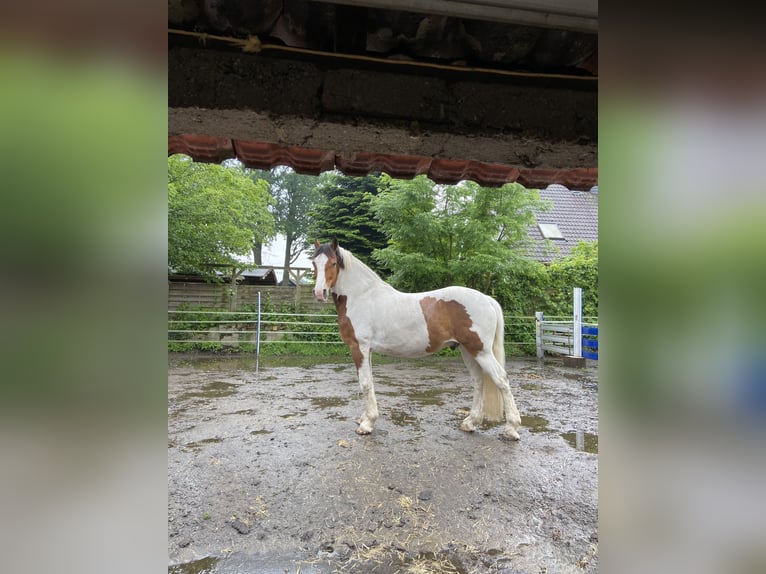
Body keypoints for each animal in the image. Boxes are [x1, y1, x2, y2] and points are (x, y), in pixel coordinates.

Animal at [311, 237, 522, 440]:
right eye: (314, 263)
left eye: (332, 263)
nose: (319, 293)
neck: (361, 296)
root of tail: (487, 299)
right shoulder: (367, 350)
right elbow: (368, 382)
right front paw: (364, 418)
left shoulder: (359, 347)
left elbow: (364, 383)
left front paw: (367, 424)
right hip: (467, 350)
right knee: (479, 382)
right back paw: (470, 423)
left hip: (480, 351)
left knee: (501, 380)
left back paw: (511, 429)